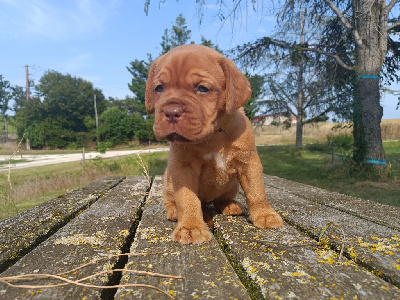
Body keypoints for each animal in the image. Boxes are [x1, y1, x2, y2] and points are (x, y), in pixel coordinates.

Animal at [145, 45, 282, 246]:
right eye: (159, 88)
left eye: (203, 88)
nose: (171, 112)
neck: (213, 135)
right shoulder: (182, 168)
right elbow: (187, 199)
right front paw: (191, 227)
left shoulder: (248, 162)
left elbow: (257, 190)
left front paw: (264, 214)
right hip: (169, 180)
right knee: (171, 199)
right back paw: (174, 211)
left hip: (231, 185)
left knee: (221, 199)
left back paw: (229, 205)